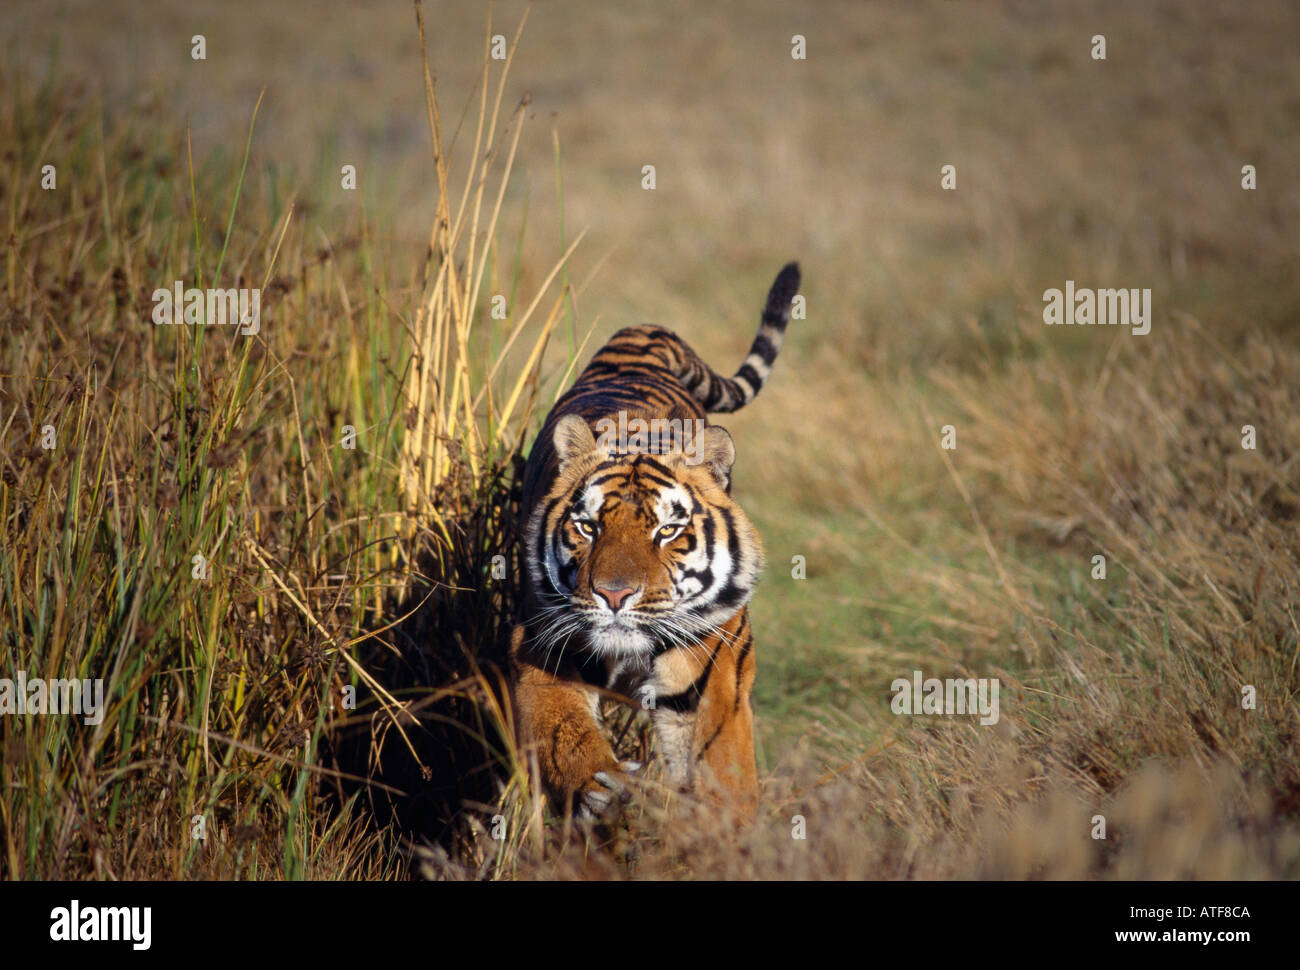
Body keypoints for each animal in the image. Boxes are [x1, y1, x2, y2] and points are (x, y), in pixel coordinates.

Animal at [509, 261, 800, 821]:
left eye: (667, 530)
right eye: (588, 526)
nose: (615, 595)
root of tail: (641, 334)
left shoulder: (718, 671)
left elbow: (724, 765)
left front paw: (724, 825)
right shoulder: (539, 652)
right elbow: (564, 734)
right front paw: (605, 789)